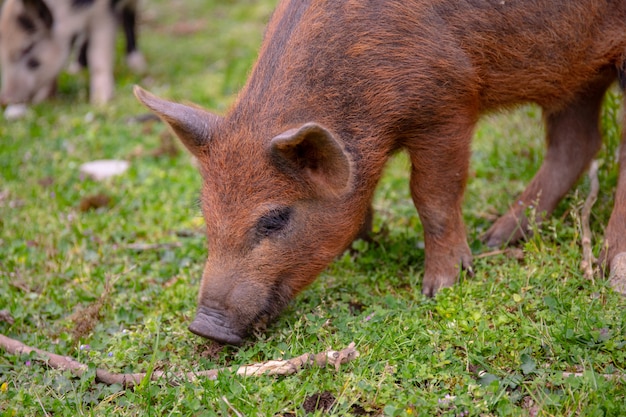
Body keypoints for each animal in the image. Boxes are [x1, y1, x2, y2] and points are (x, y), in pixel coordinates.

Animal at [0, 0, 144, 109]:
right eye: (4, 59)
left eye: (33, 61)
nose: (5, 100)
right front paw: (43, 100)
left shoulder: (104, 14)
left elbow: (98, 56)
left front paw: (99, 103)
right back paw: (76, 70)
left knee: (129, 15)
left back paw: (137, 66)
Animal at [134, 0, 624, 344]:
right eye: (205, 214)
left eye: (274, 219)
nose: (204, 327)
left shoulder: (448, 104)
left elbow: (431, 196)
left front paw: (440, 288)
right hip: (577, 74)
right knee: (577, 143)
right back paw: (497, 239)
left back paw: (608, 269)